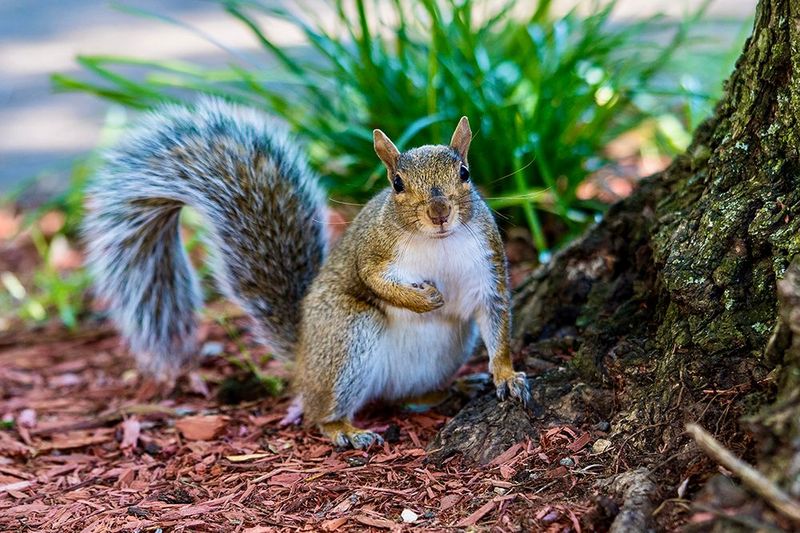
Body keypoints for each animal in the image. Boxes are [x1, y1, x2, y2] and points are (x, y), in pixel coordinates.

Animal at [84, 98, 531, 448]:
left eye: (465, 174)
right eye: (397, 183)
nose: (439, 213)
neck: (437, 242)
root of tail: (303, 358)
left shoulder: (487, 264)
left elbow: (497, 320)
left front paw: (506, 375)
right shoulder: (373, 251)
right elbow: (372, 279)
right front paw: (422, 299)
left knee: (406, 397)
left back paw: (453, 387)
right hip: (347, 332)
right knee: (321, 412)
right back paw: (344, 429)